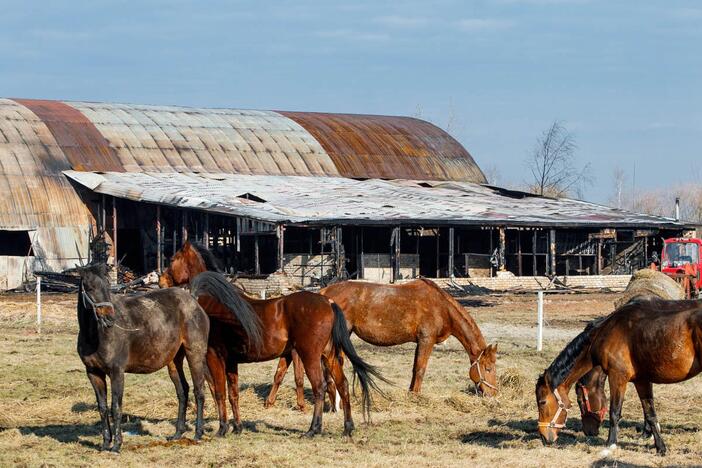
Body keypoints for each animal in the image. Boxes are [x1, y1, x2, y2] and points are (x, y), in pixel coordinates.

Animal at [75, 262, 216, 452]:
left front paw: (117, 445)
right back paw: (177, 434)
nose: (109, 317)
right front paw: (105, 443)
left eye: (107, 286)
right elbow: (103, 408)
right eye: (89, 287)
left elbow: (116, 407)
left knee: (199, 391)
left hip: (194, 353)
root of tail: (193, 300)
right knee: (182, 391)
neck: (95, 336)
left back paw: (198, 434)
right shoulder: (93, 373)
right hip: (174, 361)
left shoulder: (116, 372)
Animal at [160, 243, 388, 436]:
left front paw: (222, 429)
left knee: (319, 387)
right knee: (342, 385)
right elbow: (233, 394)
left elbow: (219, 392)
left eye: (172, 258)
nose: (161, 281)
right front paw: (237, 427)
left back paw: (313, 429)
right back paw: (348, 428)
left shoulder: (215, 357)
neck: (216, 303)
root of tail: (328, 302)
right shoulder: (232, 361)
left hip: (310, 355)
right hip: (328, 355)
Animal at [266, 278, 500, 410]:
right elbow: (420, 369)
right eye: (488, 368)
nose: (493, 395)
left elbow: (414, 369)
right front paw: (416, 397)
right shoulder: (427, 340)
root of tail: (324, 294)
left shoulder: (420, 342)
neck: (440, 306)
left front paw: (410, 393)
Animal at [532, 298, 702, 456]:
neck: (604, 333)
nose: (543, 437)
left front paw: (610, 445)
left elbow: (614, 412)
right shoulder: (642, 381)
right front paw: (660, 448)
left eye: (542, 402)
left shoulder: (617, 377)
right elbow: (650, 415)